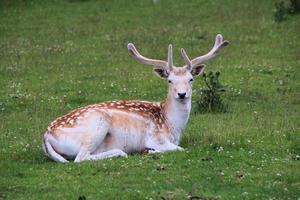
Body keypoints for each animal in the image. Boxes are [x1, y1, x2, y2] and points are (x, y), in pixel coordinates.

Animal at [42, 34, 229, 162]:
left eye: (191, 79)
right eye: (169, 80)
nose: (182, 94)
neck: (173, 126)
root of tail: (46, 136)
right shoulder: (156, 138)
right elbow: (180, 149)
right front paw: (149, 150)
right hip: (97, 126)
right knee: (81, 158)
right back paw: (122, 152)